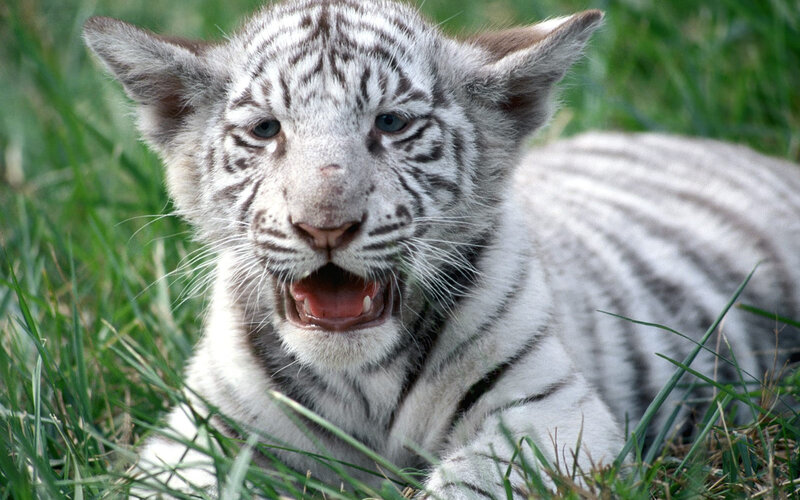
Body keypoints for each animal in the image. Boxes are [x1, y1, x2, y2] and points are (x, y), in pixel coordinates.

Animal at [82, 0, 800, 497]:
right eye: (265, 130)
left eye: (391, 124)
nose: (325, 226)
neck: (360, 381)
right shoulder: (199, 436)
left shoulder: (552, 414)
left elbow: (470, 482)